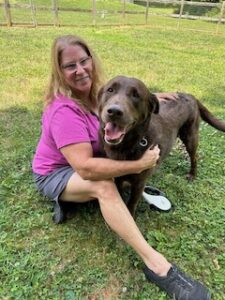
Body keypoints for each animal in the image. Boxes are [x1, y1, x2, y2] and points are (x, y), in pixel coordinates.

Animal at [98, 74, 225, 216]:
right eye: (110, 90)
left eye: (136, 95)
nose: (114, 111)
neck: (128, 144)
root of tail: (189, 95)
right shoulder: (118, 177)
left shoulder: (139, 182)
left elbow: (131, 203)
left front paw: (130, 214)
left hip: (190, 137)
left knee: (194, 156)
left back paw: (192, 174)